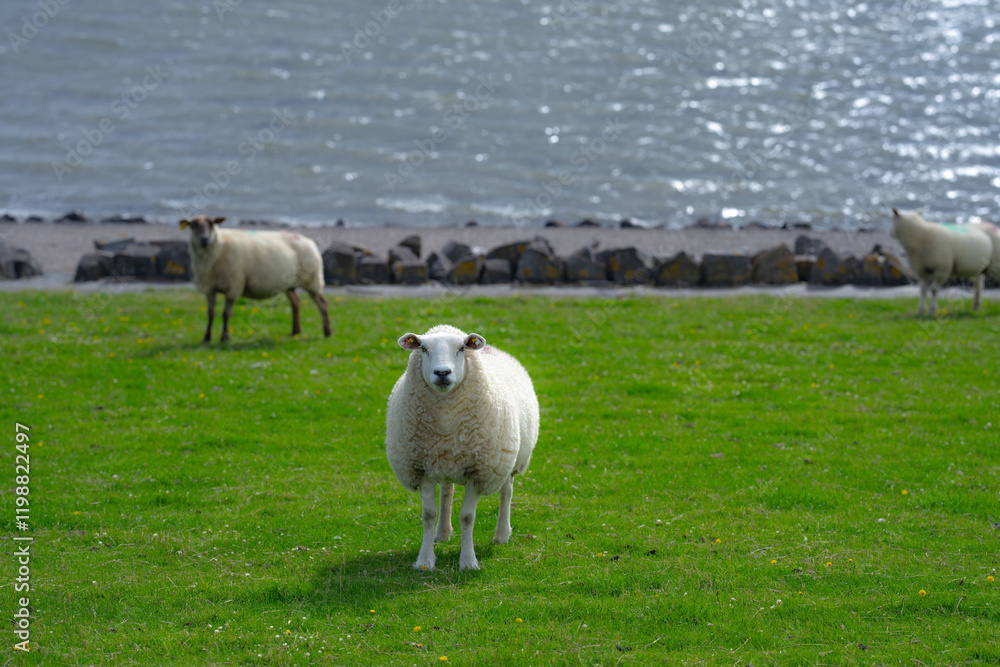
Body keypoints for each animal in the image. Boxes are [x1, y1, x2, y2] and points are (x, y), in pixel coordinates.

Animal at [180, 216, 331, 342]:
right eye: (192, 225)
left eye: (212, 224)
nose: (204, 239)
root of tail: (308, 240)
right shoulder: (210, 288)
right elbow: (210, 314)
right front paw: (207, 337)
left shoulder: (233, 287)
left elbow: (226, 314)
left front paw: (224, 338)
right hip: (289, 284)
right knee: (296, 302)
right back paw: (295, 331)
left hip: (311, 280)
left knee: (322, 303)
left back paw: (327, 331)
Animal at [385, 324, 539, 571]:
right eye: (423, 349)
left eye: (461, 349)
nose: (442, 373)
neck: (445, 422)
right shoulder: (421, 468)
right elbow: (428, 514)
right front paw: (425, 560)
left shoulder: (479, 472)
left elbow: (467, 517)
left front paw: (468, 561)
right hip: (446, 461)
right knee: (447, 491)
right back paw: (443, 533)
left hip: (507, 461)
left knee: (506, 492)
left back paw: (502, 534)